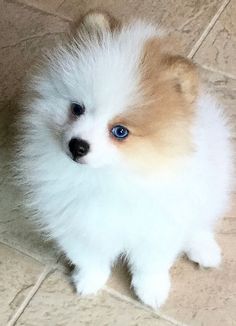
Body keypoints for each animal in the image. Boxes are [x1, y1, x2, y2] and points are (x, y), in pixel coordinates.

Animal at [16, 10, 234, 308]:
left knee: (201, 220)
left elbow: (150, 263)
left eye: (120, 131)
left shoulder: (158, 224)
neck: (111, 175)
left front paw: (152, 291)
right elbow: (87, 255)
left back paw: (204, 250)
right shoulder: (75, 219)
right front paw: (89, 281)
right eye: (77, 108)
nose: (77, 145)